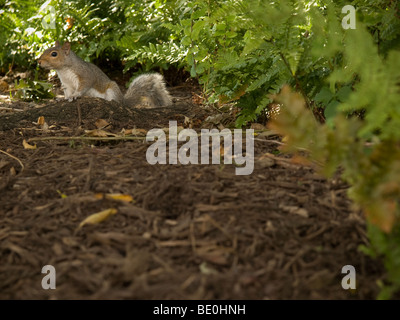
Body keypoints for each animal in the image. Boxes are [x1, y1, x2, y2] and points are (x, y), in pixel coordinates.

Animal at [35, 41, 170, 107]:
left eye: (54, 54)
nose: (39, 61)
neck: (63, 70)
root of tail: (123, 101)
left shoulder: (85, 75)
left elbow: (83, 86)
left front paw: (75, 95)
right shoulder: (66, 84)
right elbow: (67, 92)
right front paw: (64, 98)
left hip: (112, 90)